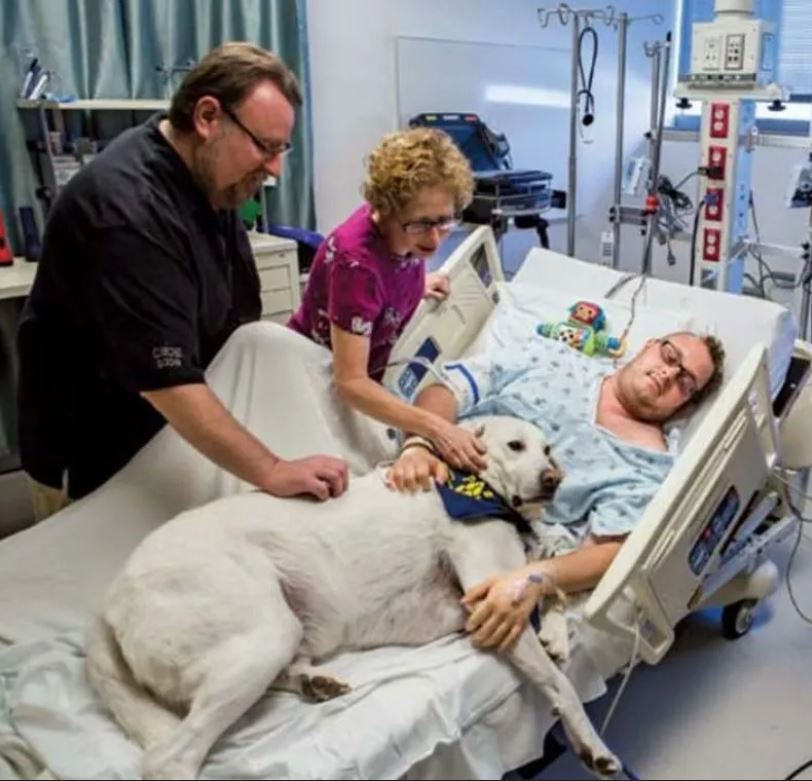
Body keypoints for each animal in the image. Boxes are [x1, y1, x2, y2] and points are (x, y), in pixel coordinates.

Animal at [87, 418, 616, 776]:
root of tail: (108, 604)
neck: (476, 488)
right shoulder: (488, 597)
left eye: (548, 449)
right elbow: (561, 684)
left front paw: (555, 634)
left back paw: (313, 683)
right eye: (515, 445)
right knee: (170, 757)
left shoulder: (502, 588)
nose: (553, 479)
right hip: (261, 632)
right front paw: (593, 746)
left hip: (276, 636)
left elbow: (546, 580)